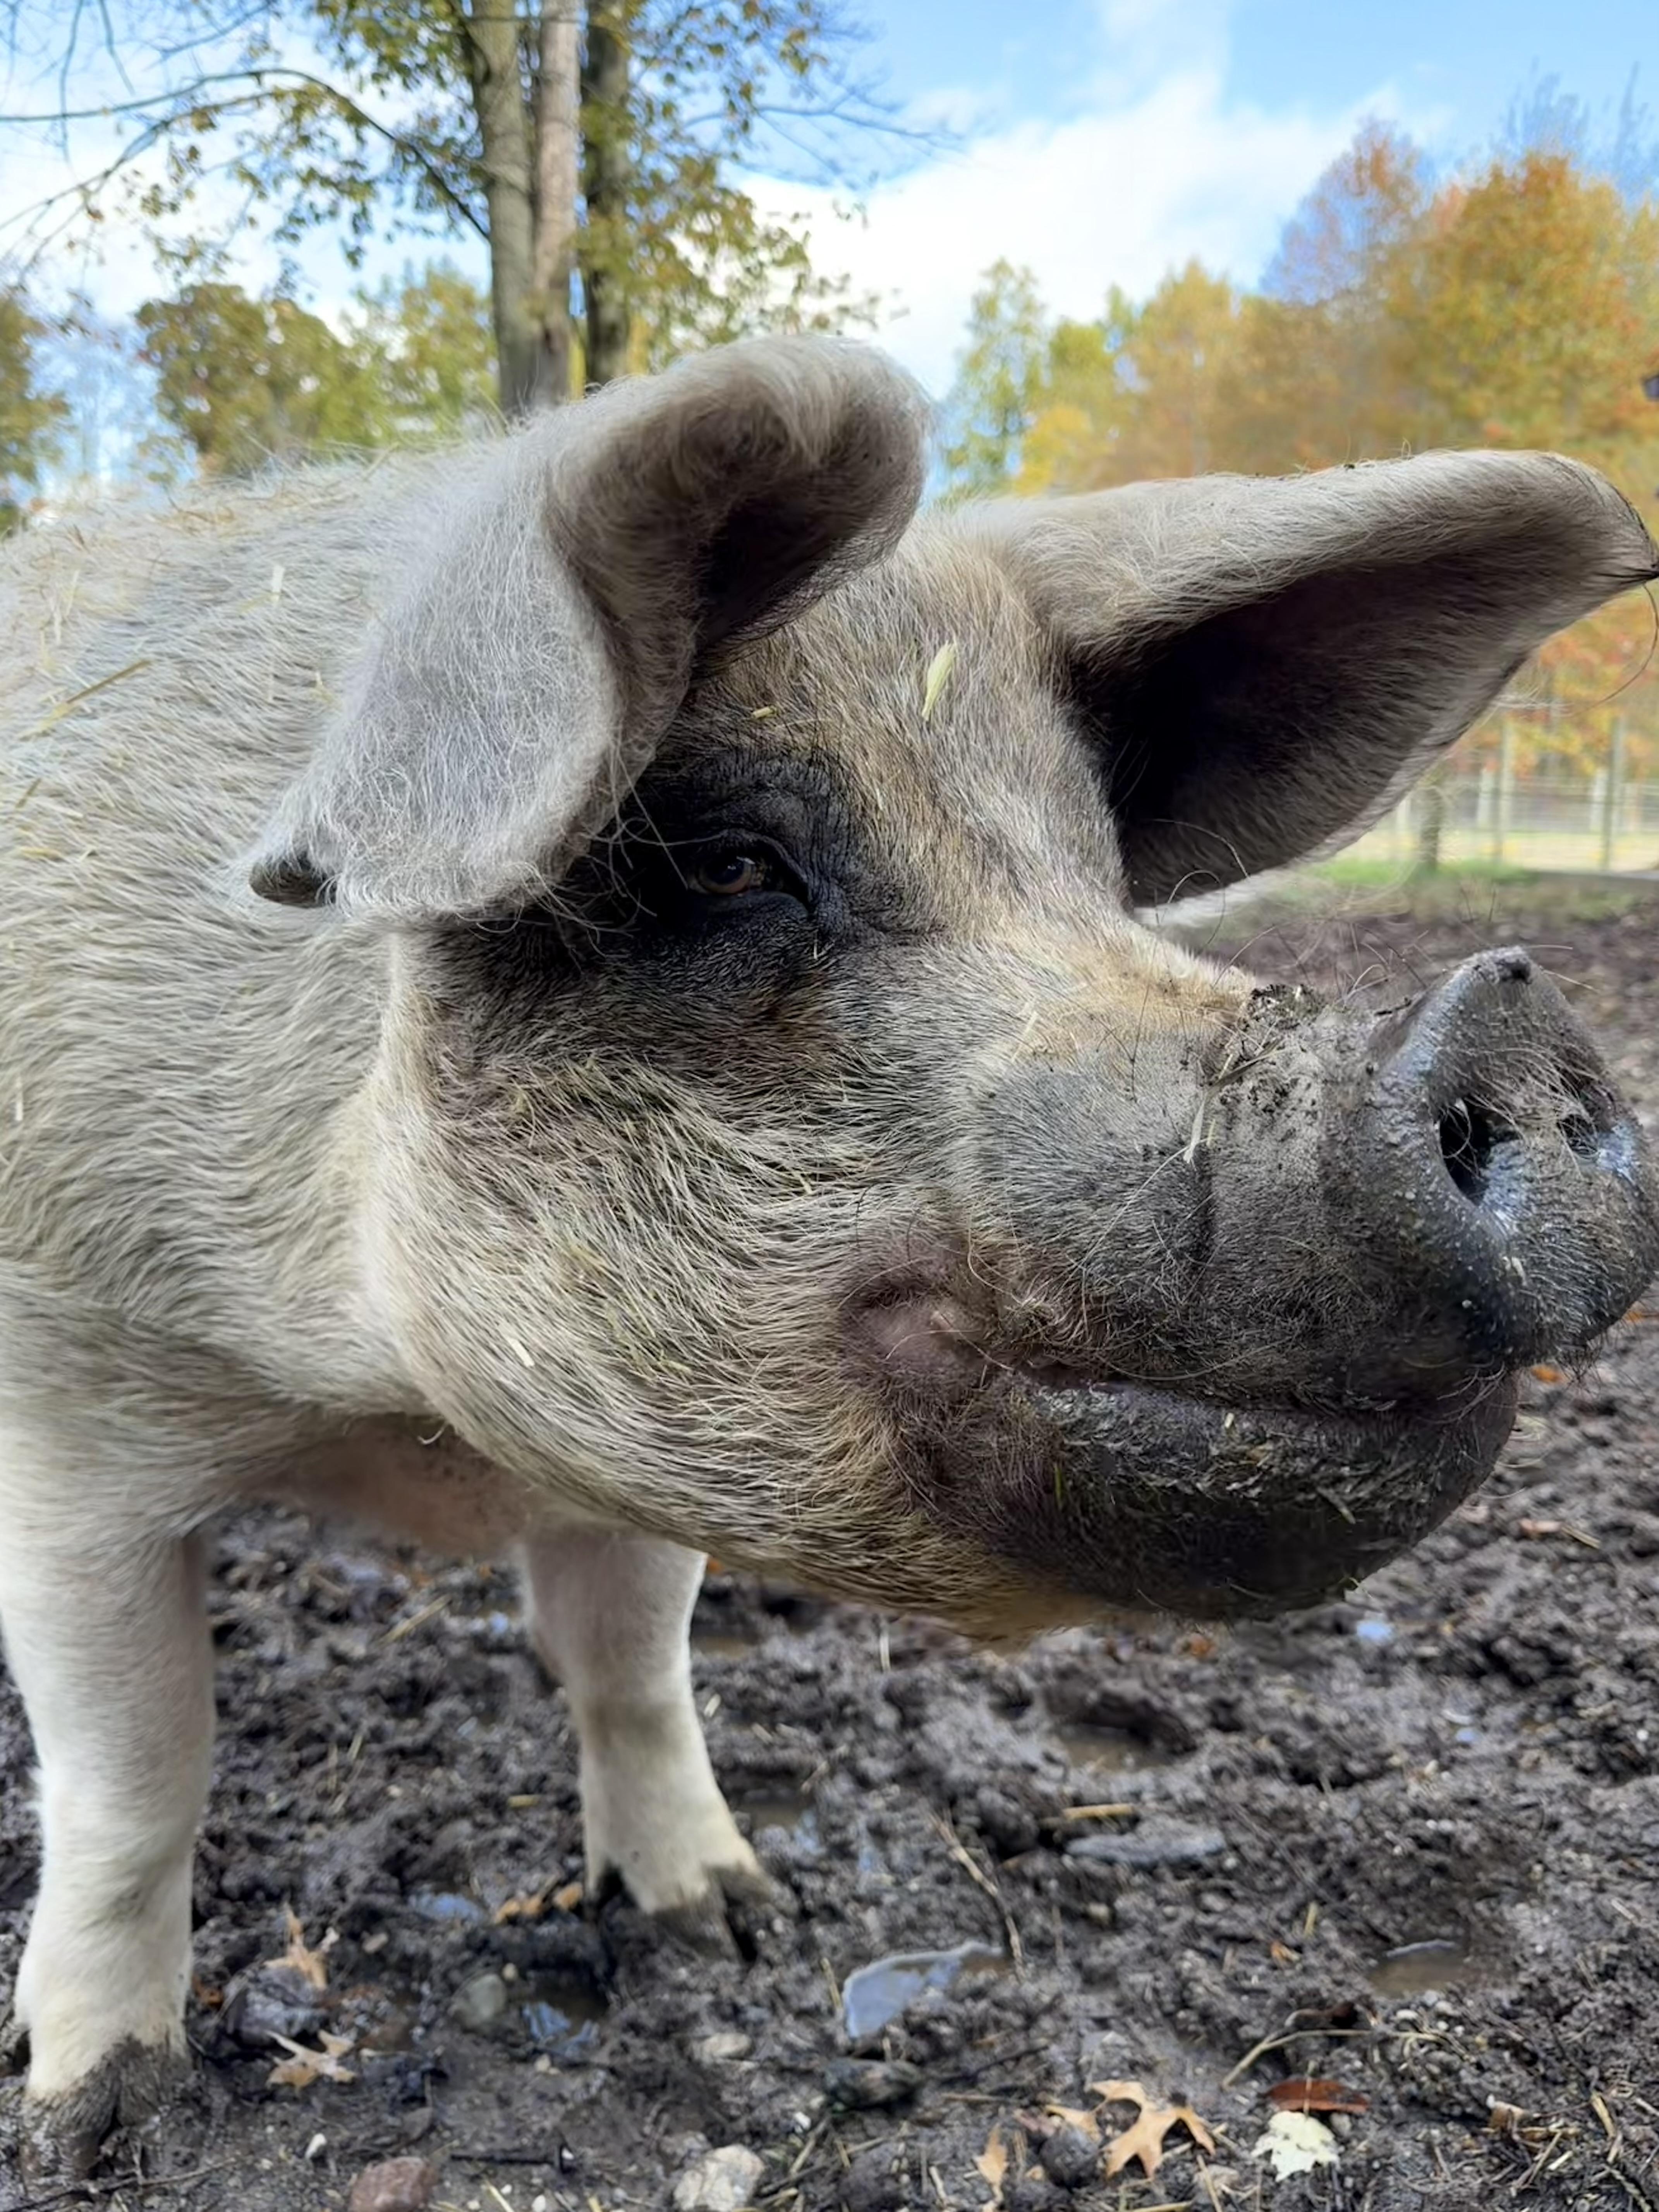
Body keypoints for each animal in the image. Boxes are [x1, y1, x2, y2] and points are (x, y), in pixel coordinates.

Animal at [1, 336, 1656, 2176]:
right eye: (721, 862)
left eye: (1093, 874)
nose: (1504, 1019)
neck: (401, 1425)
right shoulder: (69, 1415)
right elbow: (137, 1778)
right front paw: (87, 2121)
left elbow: (637, 1670)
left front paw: (731, 1923)